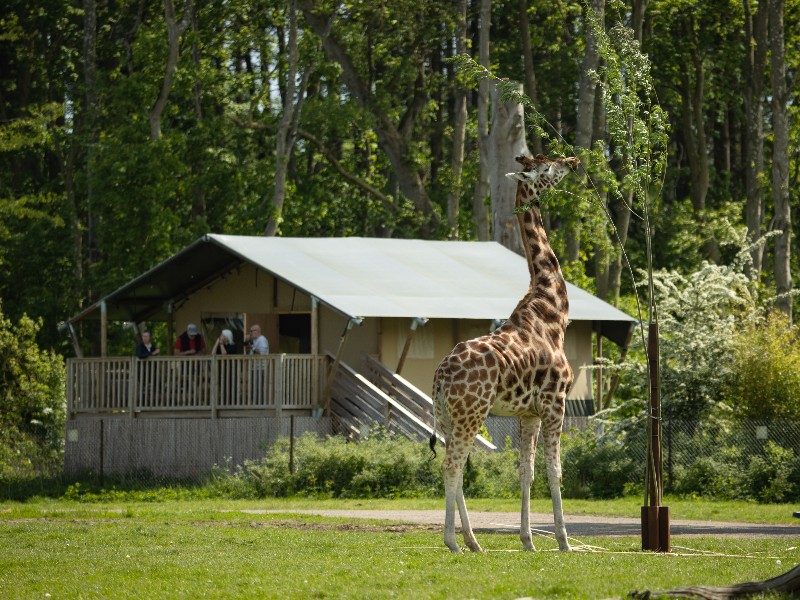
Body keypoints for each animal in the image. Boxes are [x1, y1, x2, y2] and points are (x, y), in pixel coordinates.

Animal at [432, 152, 580, 552]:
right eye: (547, 168)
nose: (573, 160)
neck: (553, 310)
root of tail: (438, 379)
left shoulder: (528, 412)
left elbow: (526, 473)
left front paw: (528, 541)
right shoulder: (555, 402)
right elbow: (555, 470)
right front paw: (564, 542)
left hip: (449, 416)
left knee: (455, 467)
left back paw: (473, 542)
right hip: (471, 413)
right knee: (452, 466)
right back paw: (453, 542)